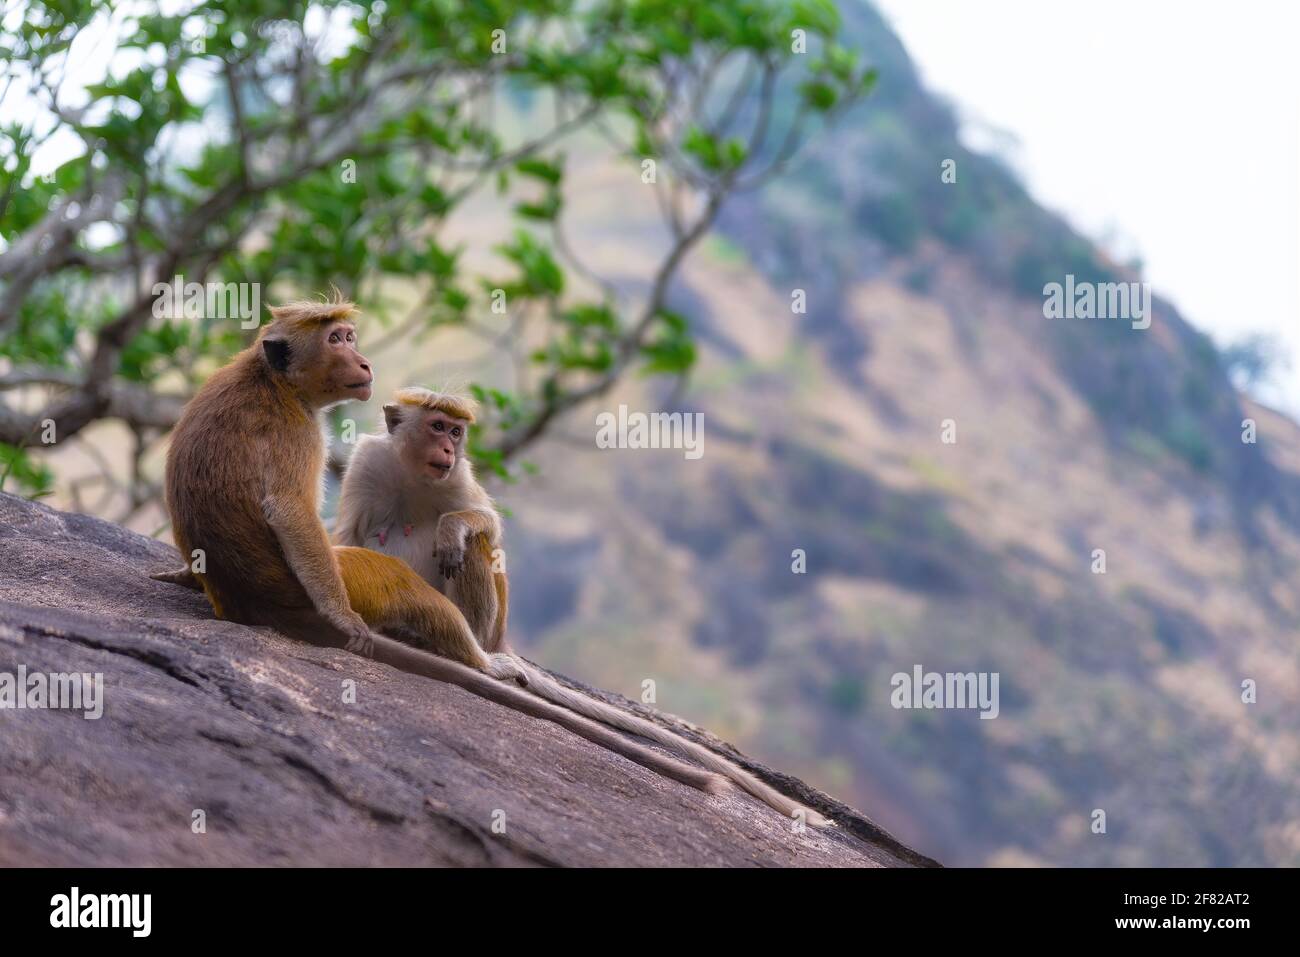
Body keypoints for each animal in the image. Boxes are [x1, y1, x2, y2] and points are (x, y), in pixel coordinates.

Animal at [150, 297, 724, 794]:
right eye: (337, 338)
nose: (362, 359)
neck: (273, 381)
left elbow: (484, 521)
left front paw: (453, 530)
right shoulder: (313, 435)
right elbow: (294, 513)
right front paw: (341, 618)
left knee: (474, 546)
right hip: (358, 579)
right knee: (405, 585)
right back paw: (482, 665)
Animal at [335, 386, 829, 827]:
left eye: (456, 432)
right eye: (437, 426)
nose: (447, 447)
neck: (415, 475)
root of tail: (499, 640)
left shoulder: (457, 476)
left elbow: (485, 524)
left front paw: (452, 530)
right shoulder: (369, 463)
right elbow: (349, 535)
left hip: (488, 625)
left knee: (475, 547)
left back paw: (465, 646)